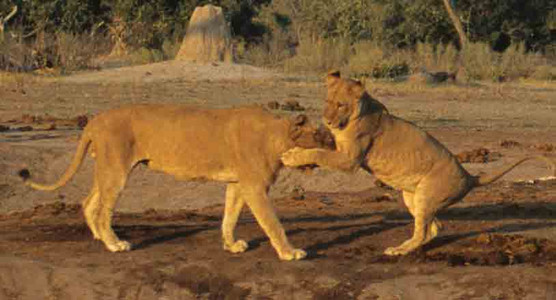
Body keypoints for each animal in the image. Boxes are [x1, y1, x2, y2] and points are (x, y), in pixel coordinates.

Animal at [19, 105, 332, 260]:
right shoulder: (255, 187)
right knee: (103, 209)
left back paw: (98, 237)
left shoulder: (238, 183)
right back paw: (115, 244)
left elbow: (229, 217)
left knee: (89, 202)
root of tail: (93, 121)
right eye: (319, 134)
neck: (276, 135)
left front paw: (230, 245)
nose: (333, 145)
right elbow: (273, 223)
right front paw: (289, 253)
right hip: (116, 169)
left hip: (106, 167)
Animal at [284, 70, 552, 255]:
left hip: (426, 195)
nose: (326, 120)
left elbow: (319, 153)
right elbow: (319, 149)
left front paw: (292, 156)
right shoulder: (340, 149)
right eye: (327, 102)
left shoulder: (350, 158)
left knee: (424, 230)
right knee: (433, 228)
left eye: (341, 105)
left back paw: (399, 250)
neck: (353, 115)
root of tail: (469, 176)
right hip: (412, 197)